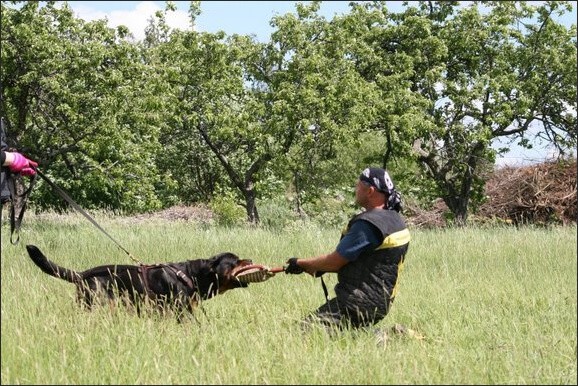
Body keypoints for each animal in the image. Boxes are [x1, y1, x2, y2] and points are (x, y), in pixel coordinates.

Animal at [26, 246, 252, 318]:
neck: (191, 275)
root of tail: (82, 274)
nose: (250, 260)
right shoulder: (181, 311)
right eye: (235, 261)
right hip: (99, 303)